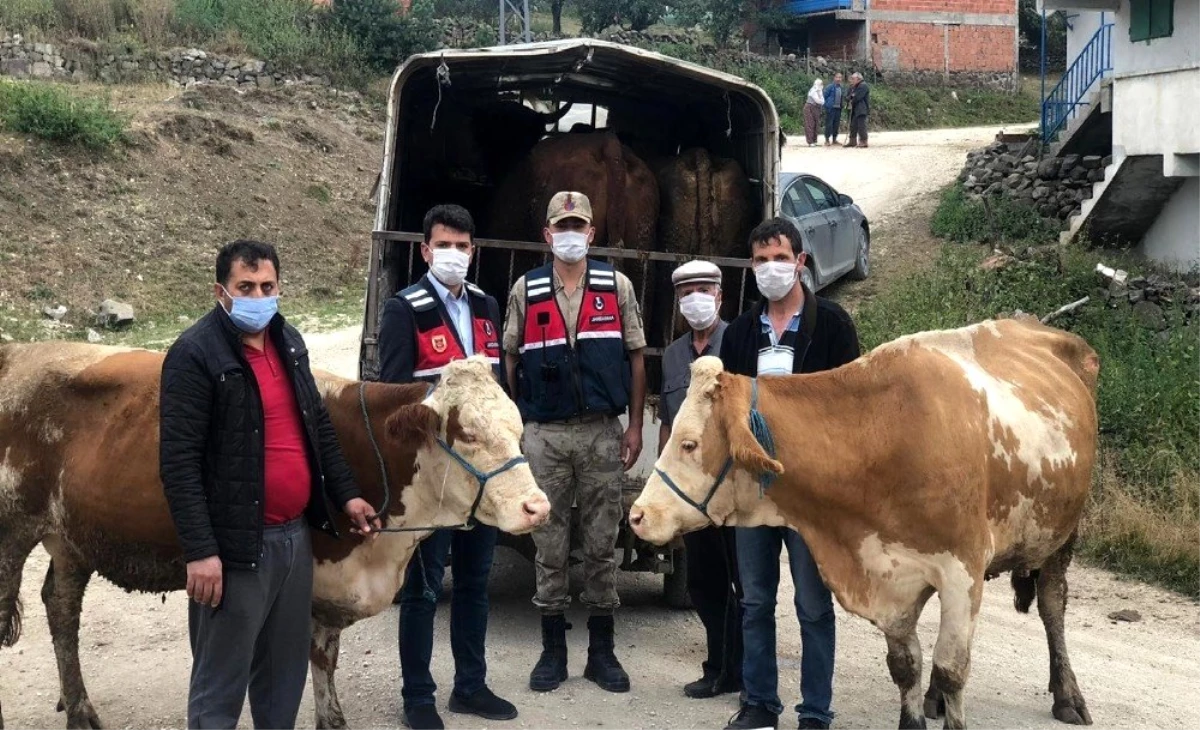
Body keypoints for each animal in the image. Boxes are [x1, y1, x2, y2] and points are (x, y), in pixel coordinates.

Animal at [0, 345, 549, 730]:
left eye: (518, 427)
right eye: (469, 434)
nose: (537, 507)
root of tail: (22, 351)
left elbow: (325, 662)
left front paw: (333, 721)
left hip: (71, 538)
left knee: (61, 608)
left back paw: (79, 709)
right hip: (13, 529)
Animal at [633, 319, 1099, 730]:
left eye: (689, 443)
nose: (638, 515)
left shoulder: (961, 572)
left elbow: (952, 669)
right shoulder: (888, 574)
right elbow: (906, 666)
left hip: (1063, 532)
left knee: (1052, 605)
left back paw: (1068, 695)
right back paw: (934, 700)